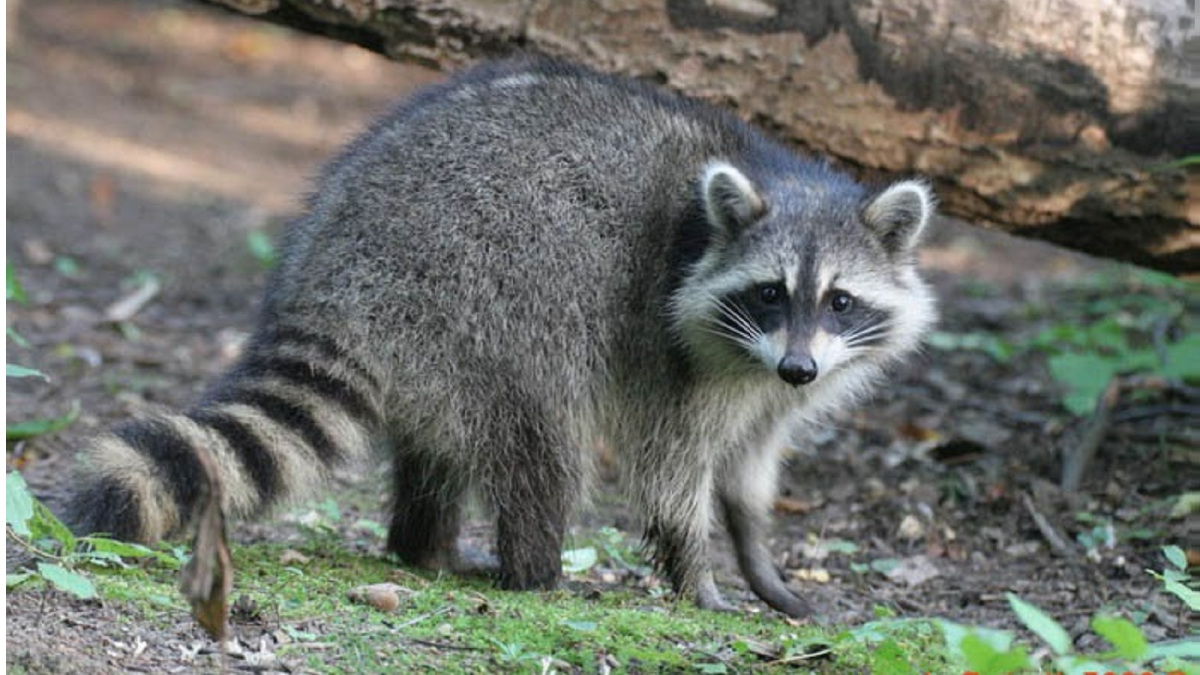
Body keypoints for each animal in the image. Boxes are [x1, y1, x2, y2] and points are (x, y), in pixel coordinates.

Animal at [65, 57, 940, 614]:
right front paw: (697, 572)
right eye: (768, 292)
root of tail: (333, 271)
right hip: (493, 291)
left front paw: (762, 561)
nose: (798, 367)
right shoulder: (674, 349)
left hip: (436, 340)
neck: (785, 180)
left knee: (441, 452)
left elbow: (751, 468)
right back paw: (536, 568)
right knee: (543, 440)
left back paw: (425, 545)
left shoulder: (776, 378)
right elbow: (671, 471)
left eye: (840, 301)